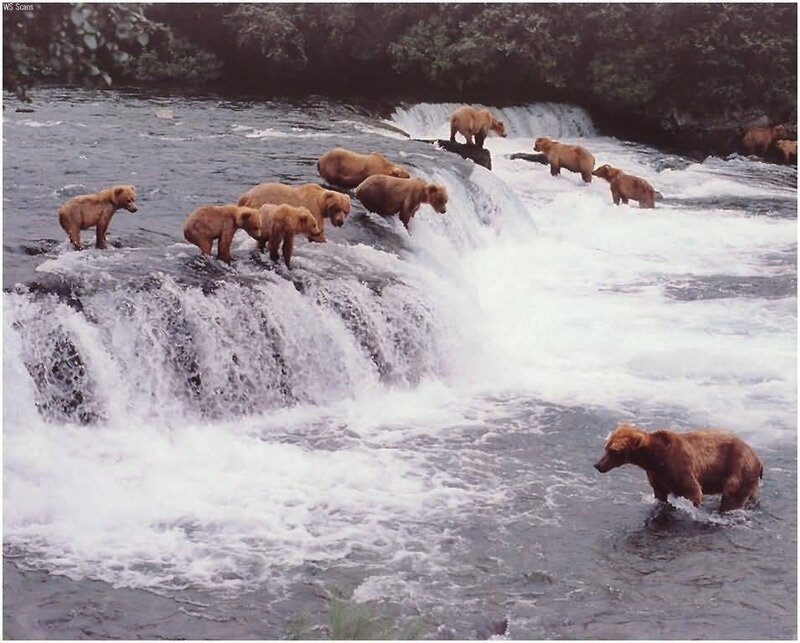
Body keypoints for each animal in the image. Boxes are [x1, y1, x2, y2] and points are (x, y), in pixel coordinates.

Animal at [594, 423, 763, 513]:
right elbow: (660, 494)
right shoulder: (657, 476)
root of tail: (758, 458)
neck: (654, 458)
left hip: (739, 467)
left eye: (613, 451)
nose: (598, 465)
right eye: (606, 447)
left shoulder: (679, 467)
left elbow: (693, 492)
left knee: (732, 495)